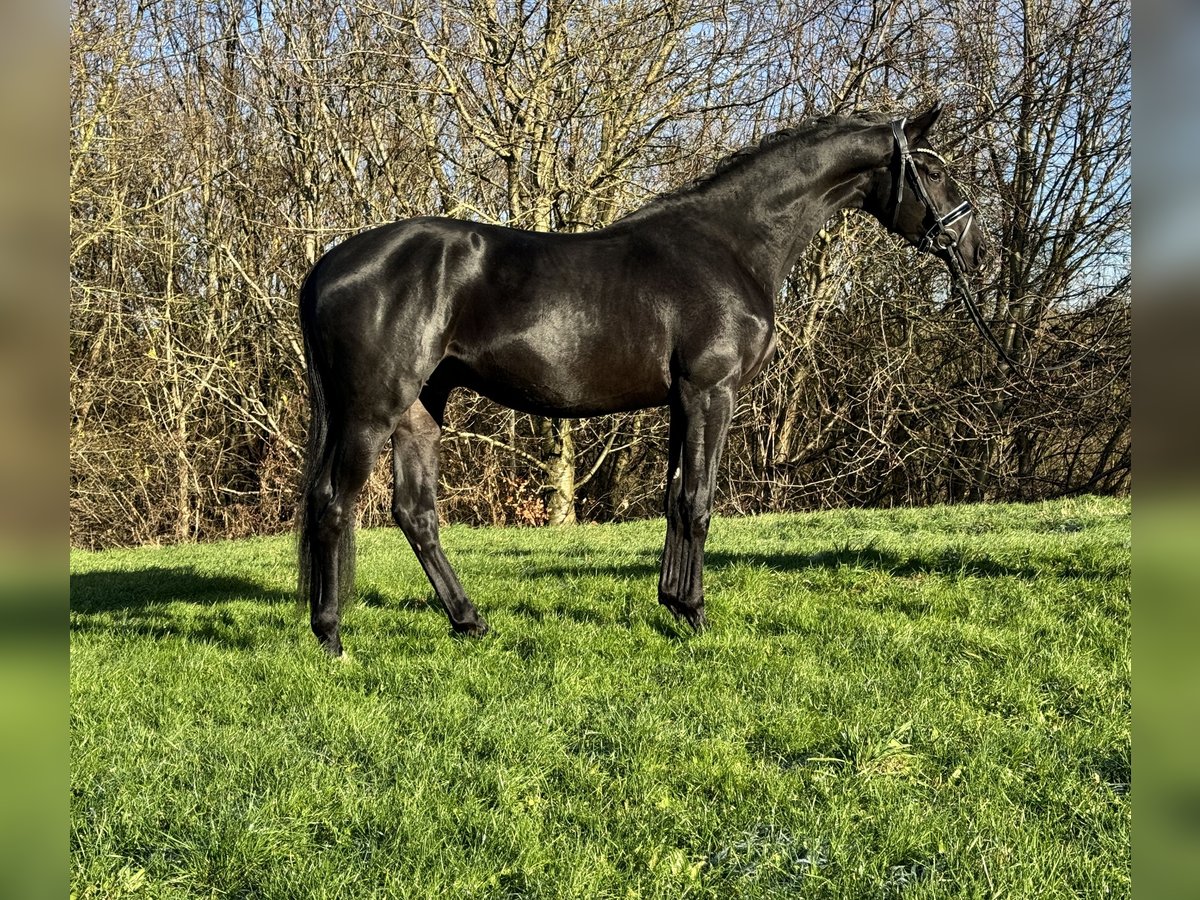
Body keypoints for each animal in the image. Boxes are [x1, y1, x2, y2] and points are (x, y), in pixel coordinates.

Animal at [297, 103, 984, 657]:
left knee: (415, 514)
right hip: (373, 408)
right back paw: (330, 636)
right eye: (934, 168)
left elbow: (675, 499)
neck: (732, 245)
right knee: (334, 502)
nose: (973, 247)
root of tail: (329, 264)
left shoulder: (684, 400)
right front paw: (696, 615)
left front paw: (674, 603)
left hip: (420, 409)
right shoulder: (711, 392)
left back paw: (469, 622)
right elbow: (698, 502)